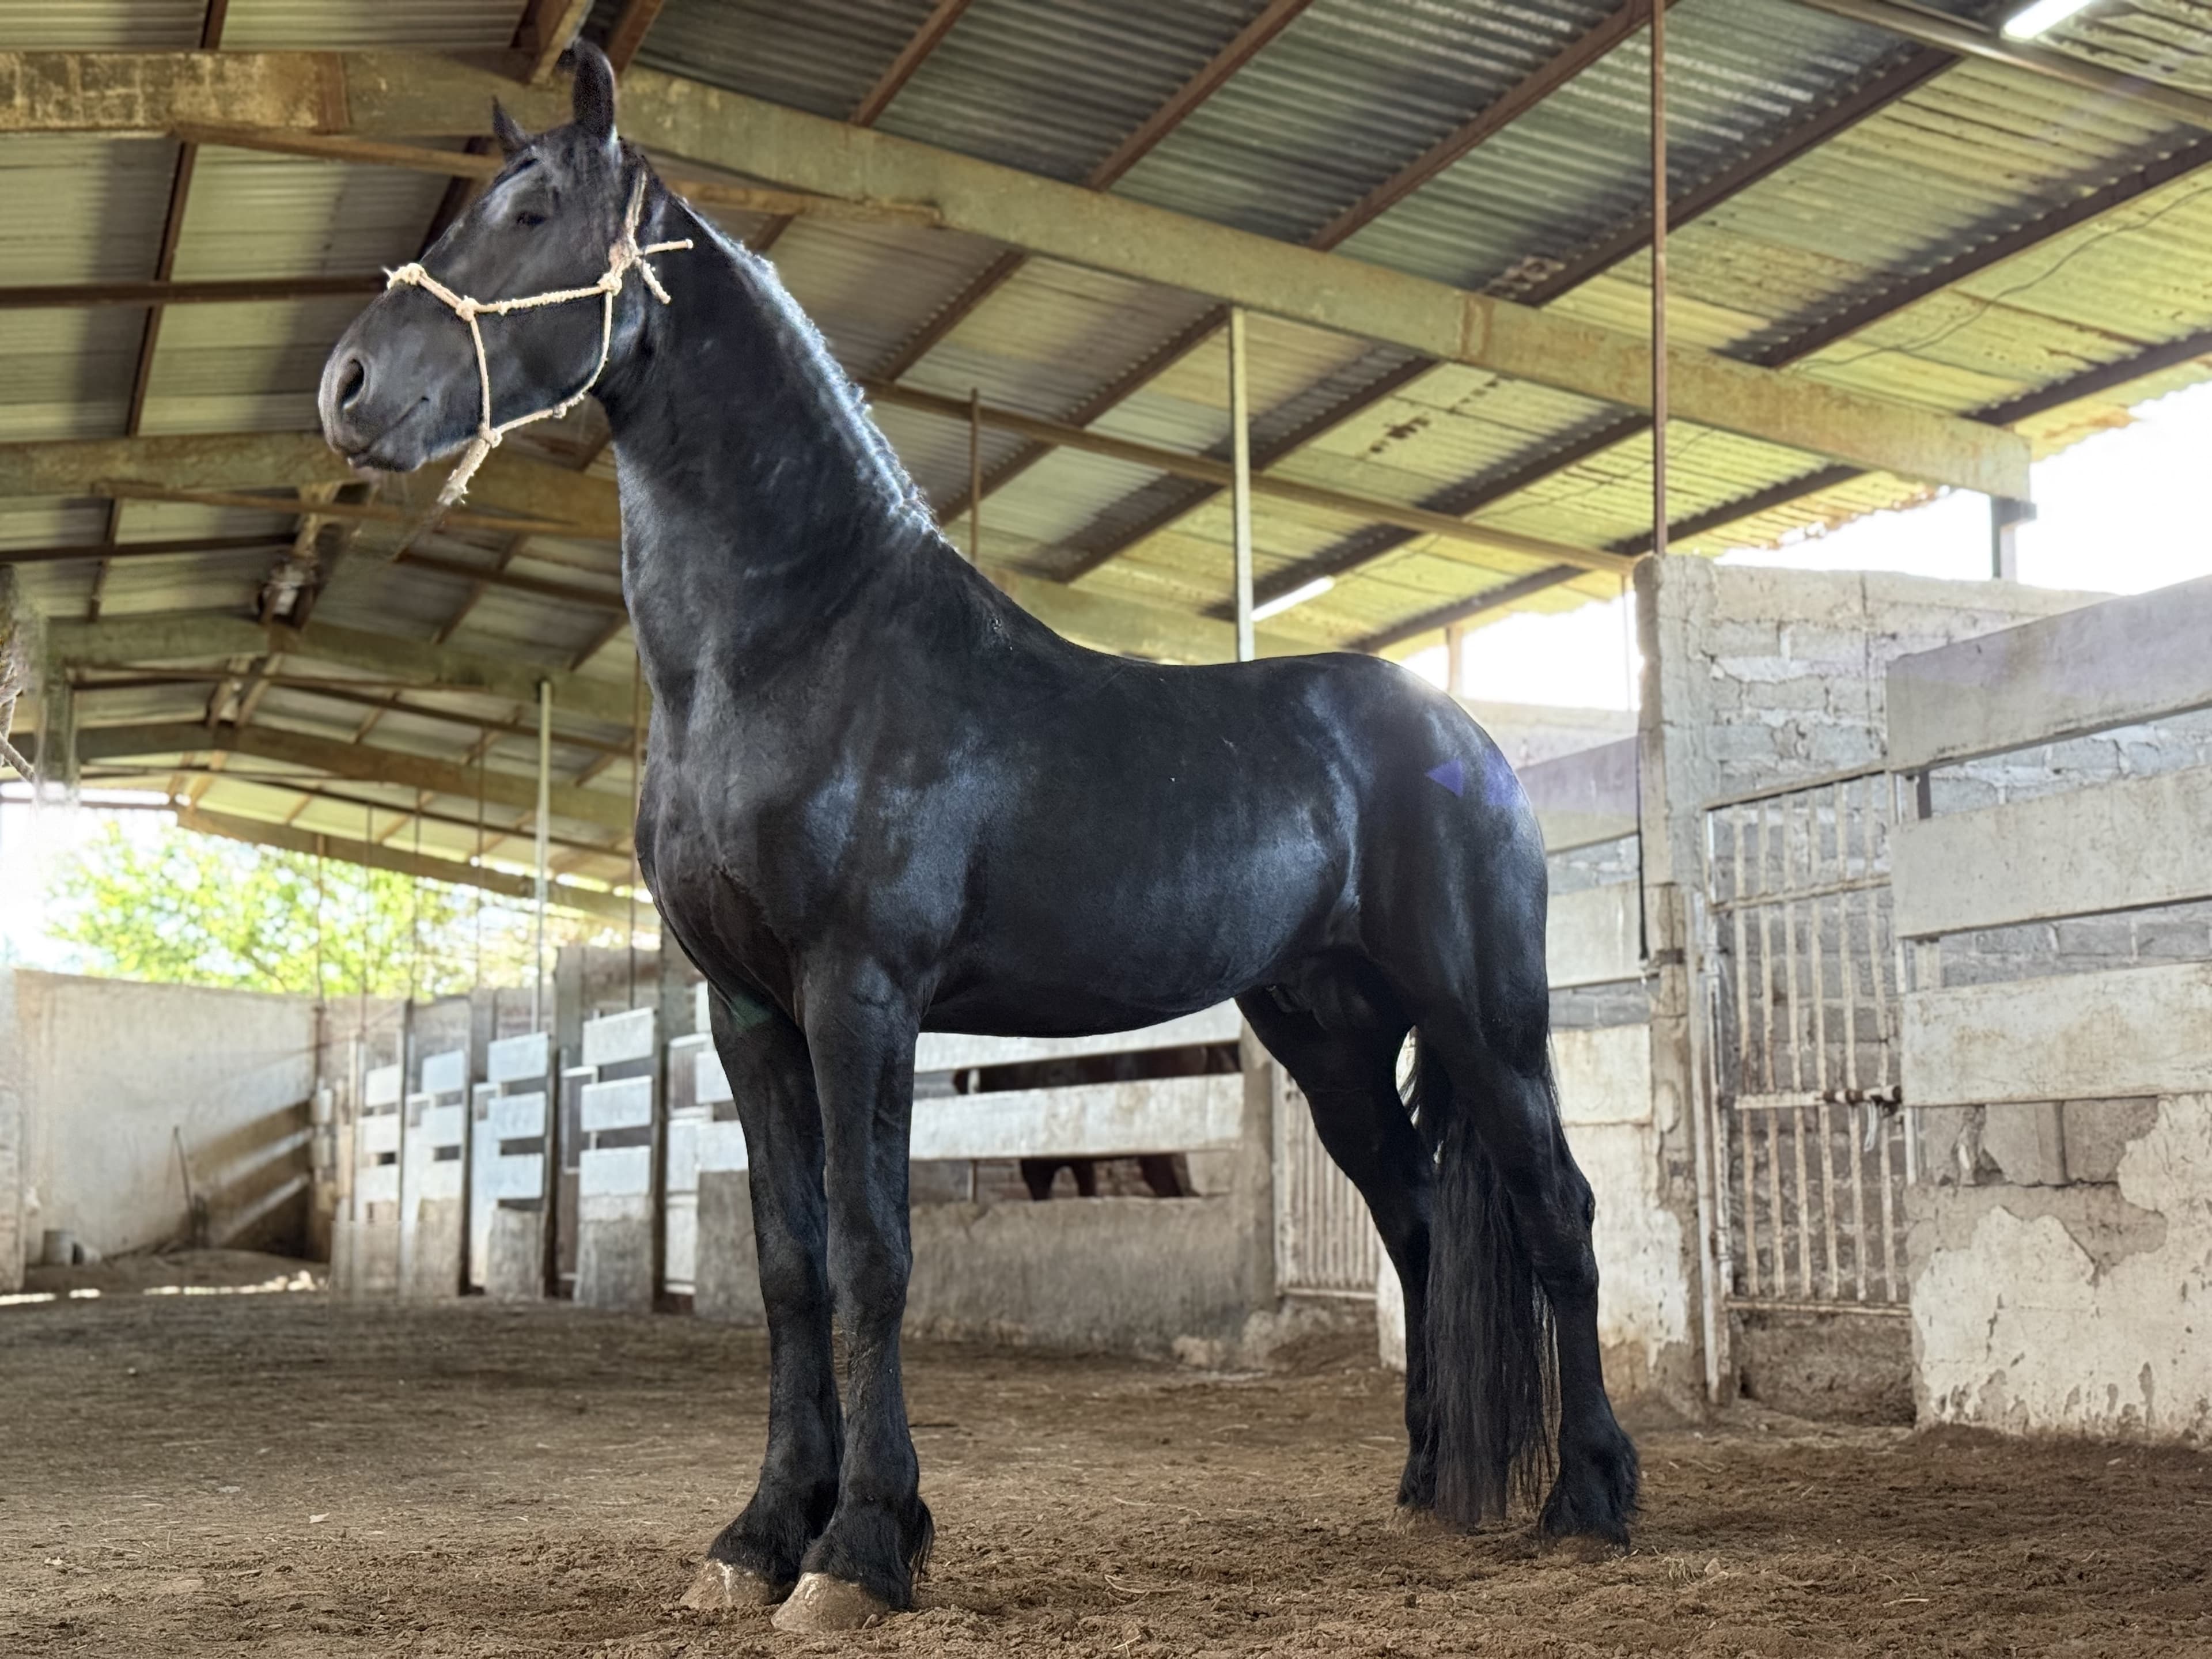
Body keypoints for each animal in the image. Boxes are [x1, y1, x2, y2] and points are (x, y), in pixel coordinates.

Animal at [318, 45, 1637, 1634]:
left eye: (527, 211)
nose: (346, 388)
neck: (792, 648)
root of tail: (1468, 739)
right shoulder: (748, 1009)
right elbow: (788, 1265)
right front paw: (757, 1536)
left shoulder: (859, 995)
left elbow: (875, 1253)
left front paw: (859, 1548)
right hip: (1330, 1036)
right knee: (1424, 1224)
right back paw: (1433, 1488)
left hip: (1486, 1018)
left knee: (1558, 1214)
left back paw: (1589, 1502)